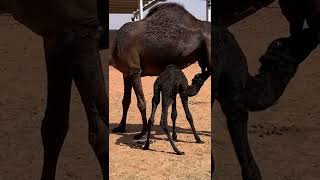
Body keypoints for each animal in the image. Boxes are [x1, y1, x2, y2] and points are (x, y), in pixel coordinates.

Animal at [111, 3, 211, 139]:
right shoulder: (126, 73)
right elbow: (126, 101)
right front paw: (120, 127)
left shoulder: (134, 70)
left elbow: (141, 102)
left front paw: (143, 132)